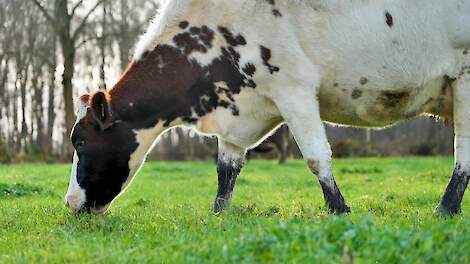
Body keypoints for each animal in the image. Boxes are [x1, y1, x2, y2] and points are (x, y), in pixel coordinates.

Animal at [65, 0, 470, 217]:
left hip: (464, 76)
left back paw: (446, 209)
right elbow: (226, 169)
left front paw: (340, 211)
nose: (69, 202)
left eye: (80, 141)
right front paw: (218, 215)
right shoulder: (238, 108)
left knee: (462, 154)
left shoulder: (293, 88)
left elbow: (316, 157)